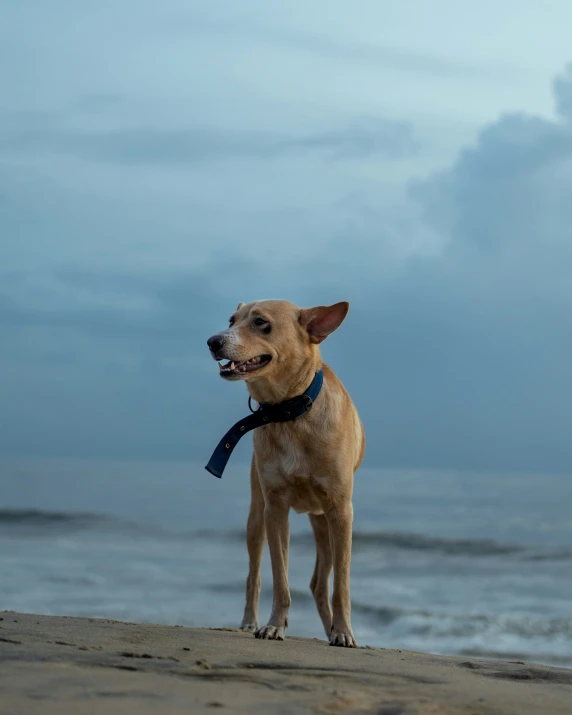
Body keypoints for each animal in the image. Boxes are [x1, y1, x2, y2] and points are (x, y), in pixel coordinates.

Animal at [208, 300, 364, 648]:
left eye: (261, 322)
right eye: (231, 320)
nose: (213, 341)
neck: (289, 412)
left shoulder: (341, 511)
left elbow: (342, 585)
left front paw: (344, 631)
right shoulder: (275, 508)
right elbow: (280, 577)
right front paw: (274, 626)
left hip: (325, 525)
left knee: (320, 583)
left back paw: (331, 629)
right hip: (256, 518)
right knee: (255, 574)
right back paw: (249, 621)